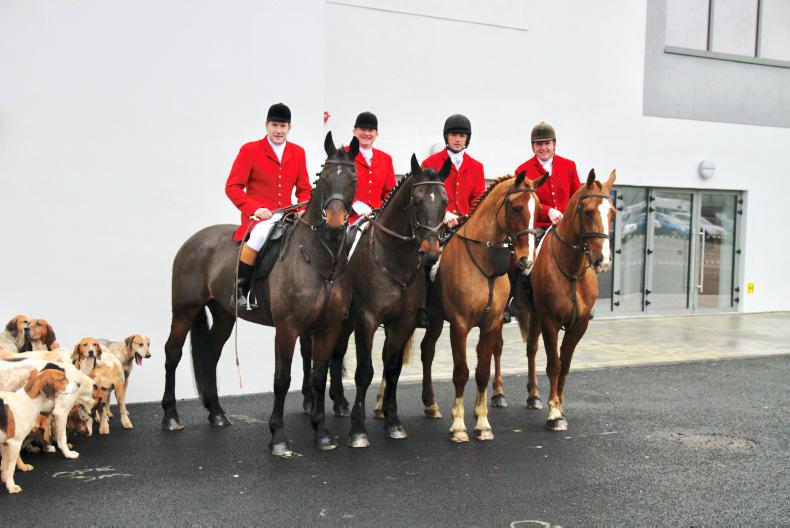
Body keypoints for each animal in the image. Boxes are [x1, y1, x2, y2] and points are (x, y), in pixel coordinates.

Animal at [161, 131, 359, 456]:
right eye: (324, 176)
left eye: (353, 178)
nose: (333, 220)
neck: (320, 258)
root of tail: (195, 240)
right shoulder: (287, 328)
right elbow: (282, 379)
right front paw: (278, 437)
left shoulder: (328, 327)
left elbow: (319, 376)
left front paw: (322, 433)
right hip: (185, 310)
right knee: (172, 353)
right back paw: (171, 416)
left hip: (224, 314)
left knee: (211, 353)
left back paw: (216, 413)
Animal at [419, 171, 547, 442]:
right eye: (517, 207)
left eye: (539, 208)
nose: (527, 259)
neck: (483, 262)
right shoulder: (459, 325)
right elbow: (461, 372)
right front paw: (458, 425)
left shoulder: (491, 323)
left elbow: (482, 371)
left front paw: (482, 422)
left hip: (436, 319)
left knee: (427, 351)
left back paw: (430, 404)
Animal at [516, 169, 616, 430]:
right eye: (588, 211)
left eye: (612, 212)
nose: (603, 260)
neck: (571, 270)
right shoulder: (550, 321)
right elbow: (554, 364)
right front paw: (554, 413)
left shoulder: (580, 324)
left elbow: (566, 364)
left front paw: (559, 403)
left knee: (531, 349)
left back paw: (533, 396)